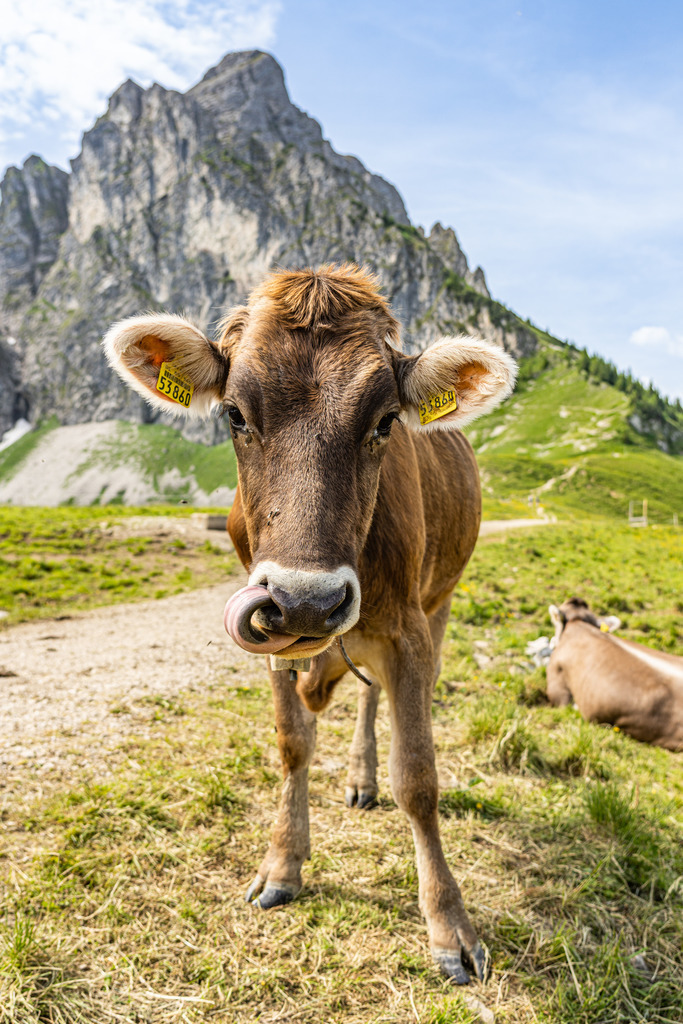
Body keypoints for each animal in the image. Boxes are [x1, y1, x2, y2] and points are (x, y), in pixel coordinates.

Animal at [103, 263, 517, 984]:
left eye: (385, 421)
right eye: (235, 415)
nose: (305, 602)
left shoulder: (406, 631)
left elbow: (418, 777)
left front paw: (449, 925)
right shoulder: (270, 634)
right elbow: (292, 744)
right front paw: (282, 864)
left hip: (439, 602)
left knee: (386, 699)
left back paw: (364, 774)